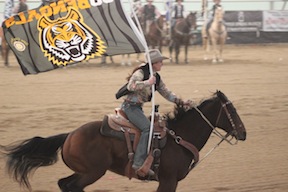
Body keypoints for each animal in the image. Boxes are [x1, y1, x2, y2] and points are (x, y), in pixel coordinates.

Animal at [1, 90, 246, 192]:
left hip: (84, 171)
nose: (243, 133)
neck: (179, 138)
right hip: (93, 172)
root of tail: (69, 135)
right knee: (71, 186)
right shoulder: (168, 181)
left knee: (64, 184)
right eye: (232, 110)